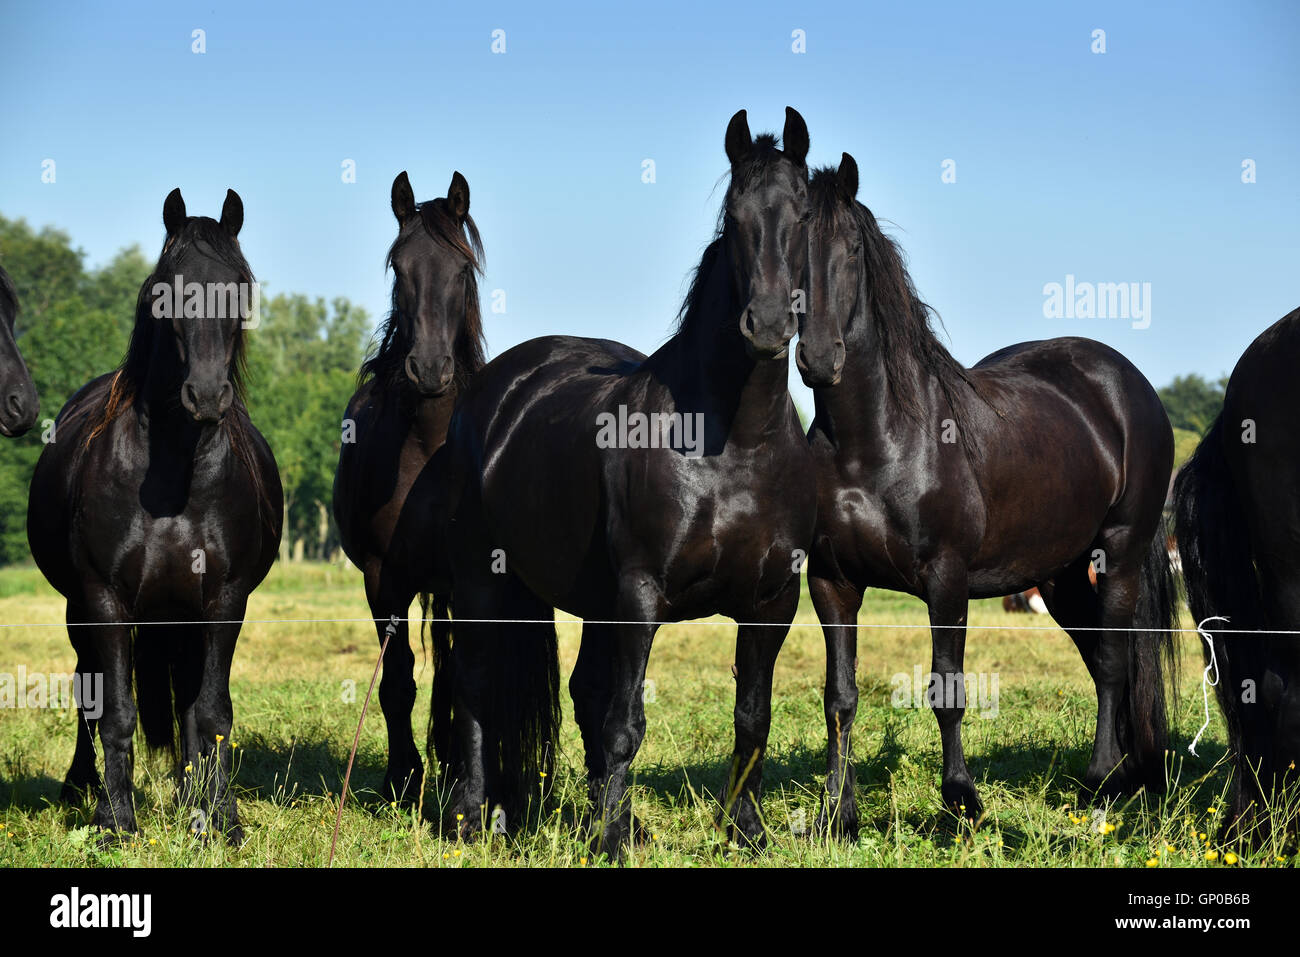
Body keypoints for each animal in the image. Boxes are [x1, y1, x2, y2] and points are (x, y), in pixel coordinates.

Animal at [26, 188, 282, 843]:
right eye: (168, 289)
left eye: (239, 287)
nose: (208, 396)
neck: (173, 475)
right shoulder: (103, 598)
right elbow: (115, 711)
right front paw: (116, 822)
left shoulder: (223, 600)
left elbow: (211, 712)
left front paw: (220, 819)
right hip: (82, 612)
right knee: (86, 689)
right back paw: (81, 789)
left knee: (189, 704)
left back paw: (192, 798)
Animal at [442, 108, 827, 855]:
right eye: (733, 215)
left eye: (802, 212)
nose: (767, 324)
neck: (734, 442)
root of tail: (496, 390)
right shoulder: (640, 594)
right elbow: (626, 724)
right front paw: (609, 843)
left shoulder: (772, 599)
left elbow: (752, 718)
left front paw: (744, 831)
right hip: (484, 578)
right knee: (476, 685)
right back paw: (477, 816)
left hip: (592, 599)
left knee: (583, 693)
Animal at [796, 153, 1178, 837]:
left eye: (851, 249)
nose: (818, 357)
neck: (876, 441)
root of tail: (1126, 383)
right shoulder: (831, 582)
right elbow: (839, 697)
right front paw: (837, 816)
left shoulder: (946, 580)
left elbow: (947, 689)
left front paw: (961, 802)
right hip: (1059, 576)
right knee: (1100, 658)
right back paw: (1133, 772)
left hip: (1119, 554)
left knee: (1113, 661)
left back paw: (1102, 782)